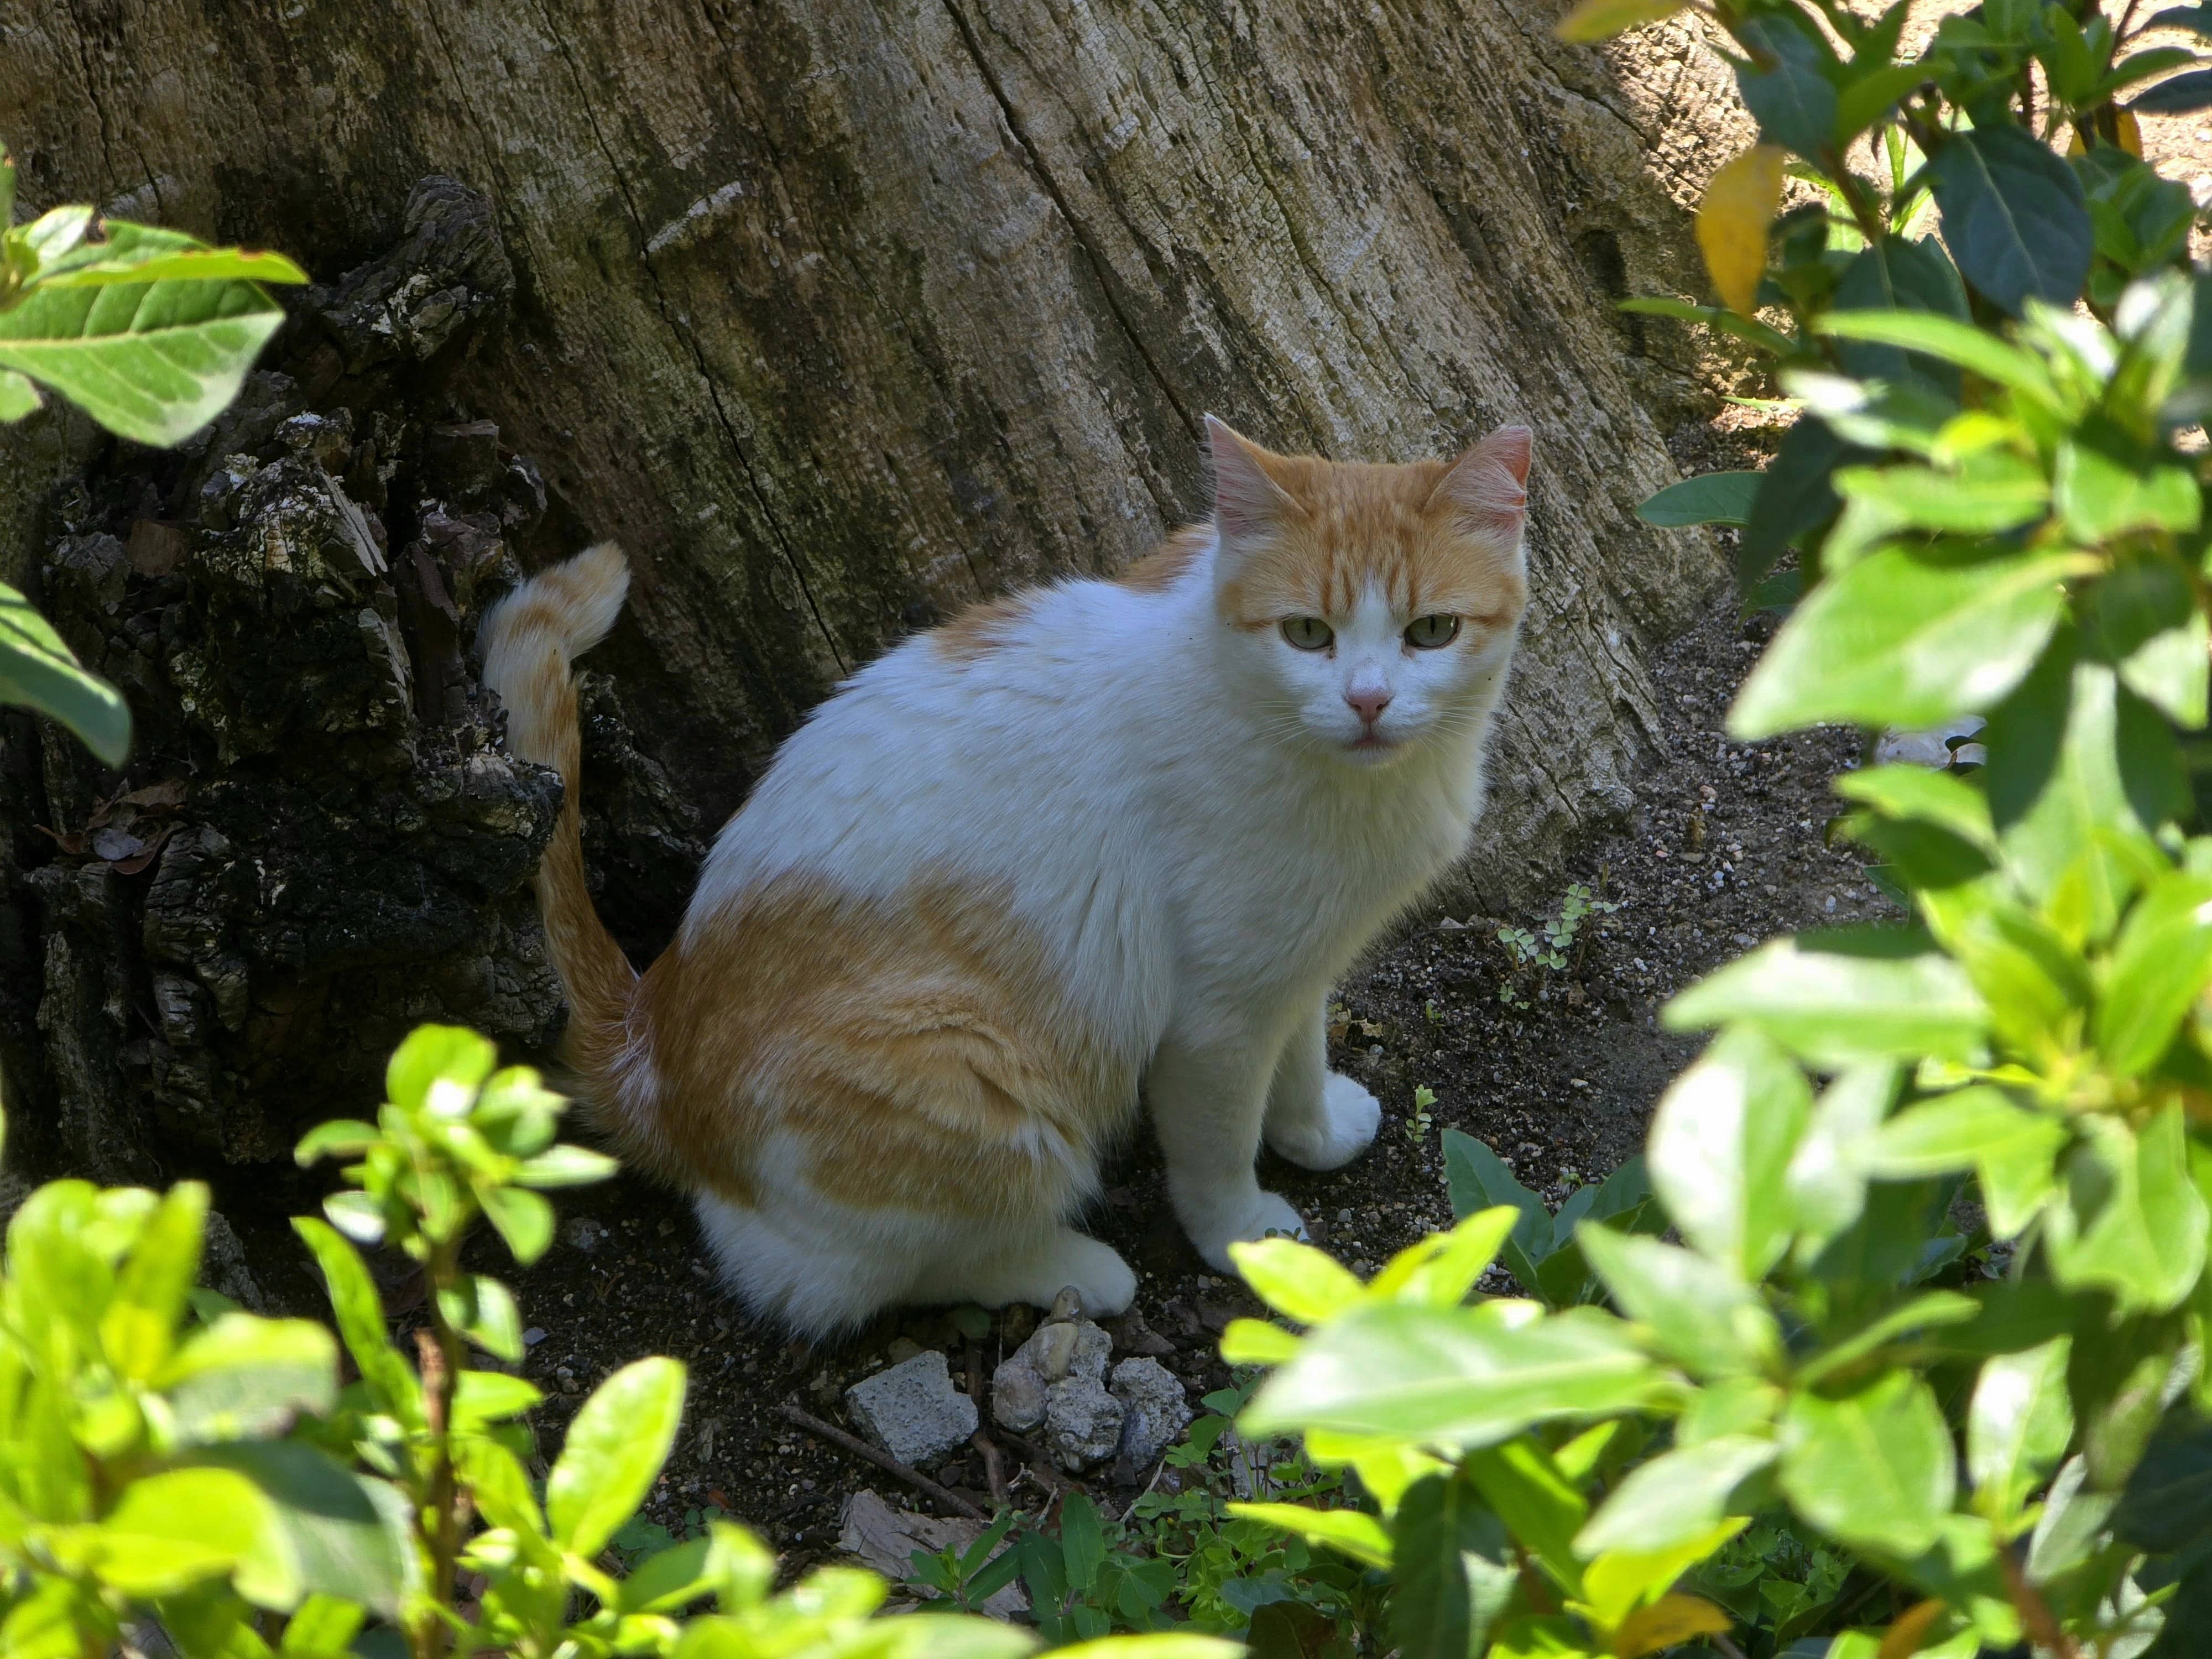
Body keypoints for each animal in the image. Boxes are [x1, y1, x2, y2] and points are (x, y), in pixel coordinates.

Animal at [478, 416, 1531, 1336]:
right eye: (1307, 634)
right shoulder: (1217, 1020)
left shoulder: (1294, 959)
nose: (1368, 701)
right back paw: (1072, 1269)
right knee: (846, 1280)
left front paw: (1314, 1133)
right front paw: (1248, 1240)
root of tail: (649, 1043)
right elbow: (1220, 1146)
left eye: (1432, 631)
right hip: (979, 1082)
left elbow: (1302, 1057)